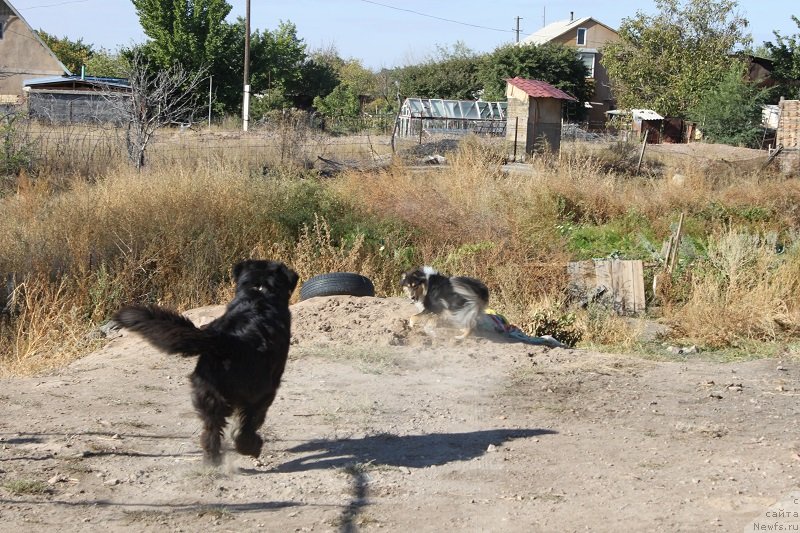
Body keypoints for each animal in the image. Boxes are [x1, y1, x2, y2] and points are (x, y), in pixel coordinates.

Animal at [112, 260, 296, 464]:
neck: (259, 292)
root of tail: (226, 341)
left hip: (209, 395)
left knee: (212, 430)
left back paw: (212, 460)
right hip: (258, 392)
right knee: (248, 425)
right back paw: (250, 447)